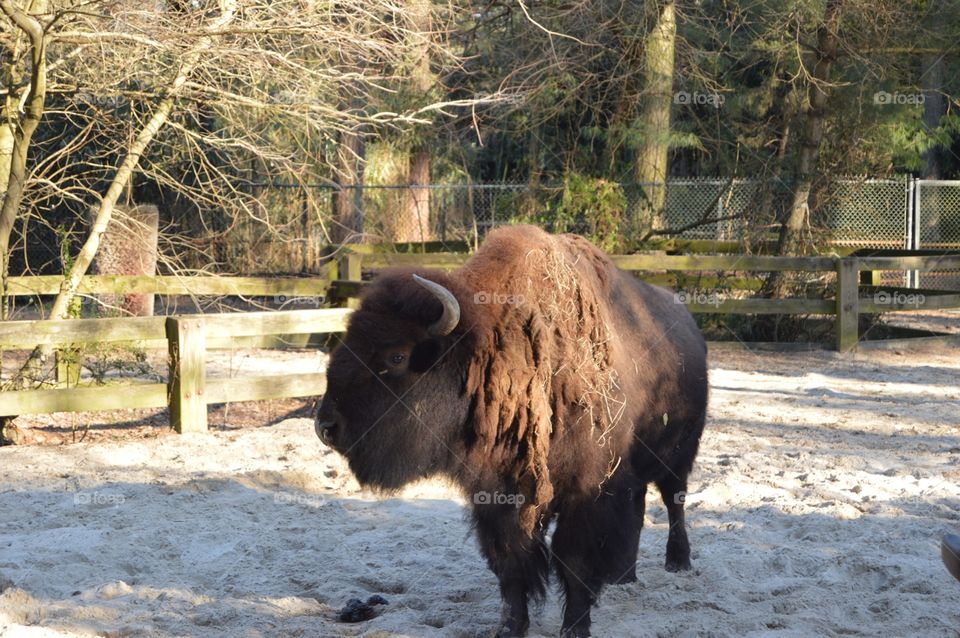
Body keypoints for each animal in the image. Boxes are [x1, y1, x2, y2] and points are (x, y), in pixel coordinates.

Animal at [315, 225, 708, 637]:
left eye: (397, 356)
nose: (326, 427)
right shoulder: (499, 494)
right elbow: (510, 563)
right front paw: (509, 627)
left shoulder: (586, 489)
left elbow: (575, 561)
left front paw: (575, 628)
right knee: (638, 504)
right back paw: (624, 577)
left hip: (680, 453)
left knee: (674, 501)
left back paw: (678, 562)